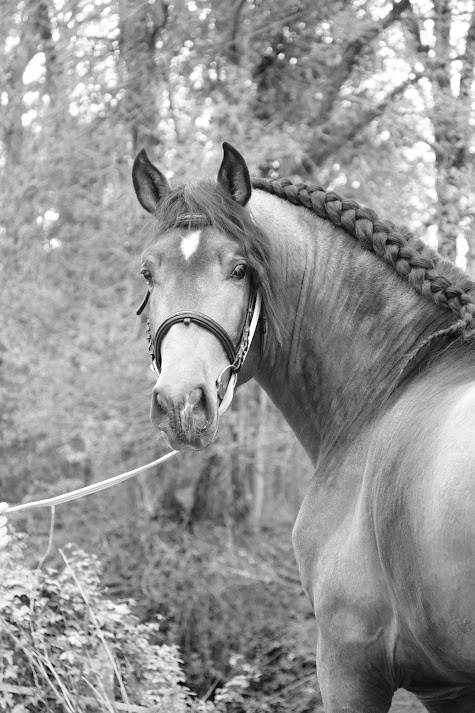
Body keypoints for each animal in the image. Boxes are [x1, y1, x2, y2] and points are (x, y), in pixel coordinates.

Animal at [131, 142, 475, 712]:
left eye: (239, 269)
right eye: (147, 273)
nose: (182, 403)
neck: (389, 388)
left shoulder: (347, 662)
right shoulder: (450, 688)